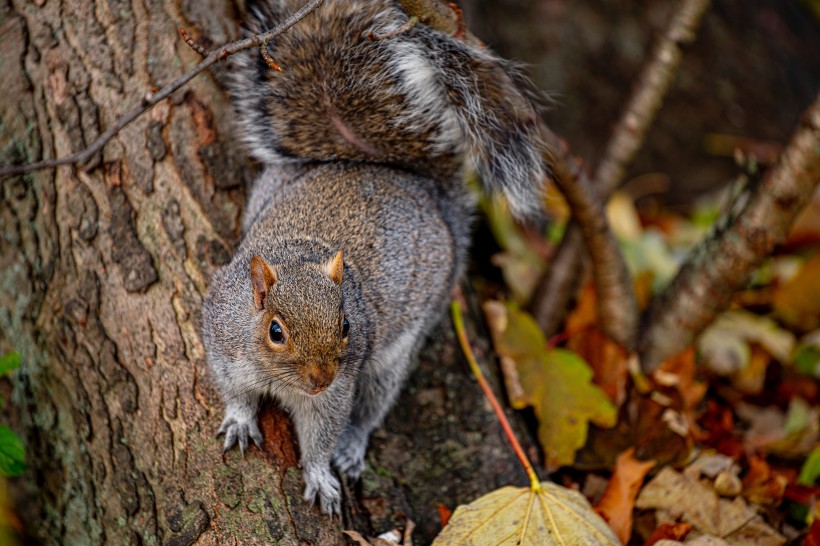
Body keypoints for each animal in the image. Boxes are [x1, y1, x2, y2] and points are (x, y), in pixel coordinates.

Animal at [199, 0, 548, 516]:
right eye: (275, 332)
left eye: (347, 325)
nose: (320, 379)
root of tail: (415, 185)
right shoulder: (223, 340)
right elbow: (233, 390)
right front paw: (241, 420)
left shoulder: (338, 389)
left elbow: (323, 434)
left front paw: (321, 474)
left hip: (398, 349)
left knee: (372, 407)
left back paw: (353, 445)